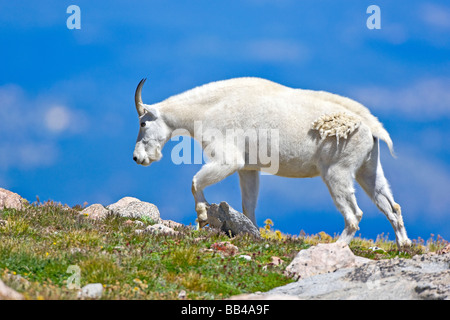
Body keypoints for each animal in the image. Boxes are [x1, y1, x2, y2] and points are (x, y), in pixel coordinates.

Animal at [131, 76, 412, 249]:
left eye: (143, 123)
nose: (137, 157)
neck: (204, 110)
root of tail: (372, 127)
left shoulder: (228, 159)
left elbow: (195, 181)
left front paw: (201, 216)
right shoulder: (249, 168)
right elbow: (249, 204)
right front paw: (252, 232)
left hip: (337, 171)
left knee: (355, 215)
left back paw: (337, 246)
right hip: (368, 167)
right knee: (390, 204)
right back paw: (403, 244)